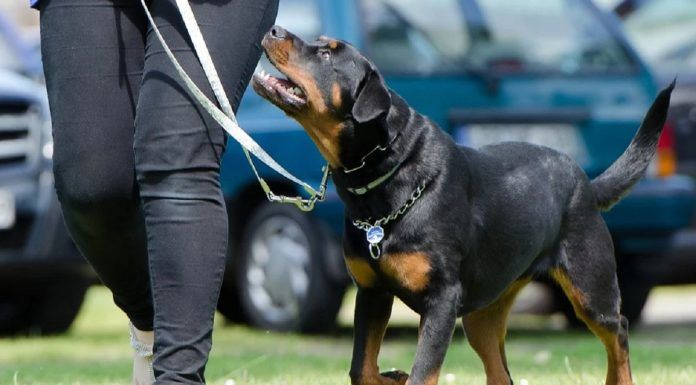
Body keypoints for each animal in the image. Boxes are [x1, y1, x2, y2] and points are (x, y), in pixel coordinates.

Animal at [251, 24, 676, 384]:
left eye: (326, 54)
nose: (274, 29)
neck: (385, 176)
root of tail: (586, 183)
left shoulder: (441, 301)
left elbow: (422, 373)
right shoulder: (372, 292)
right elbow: (362, 368)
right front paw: (391, 375)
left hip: (590, 284)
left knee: (618, 332)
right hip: (482, 314)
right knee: (501, 372)